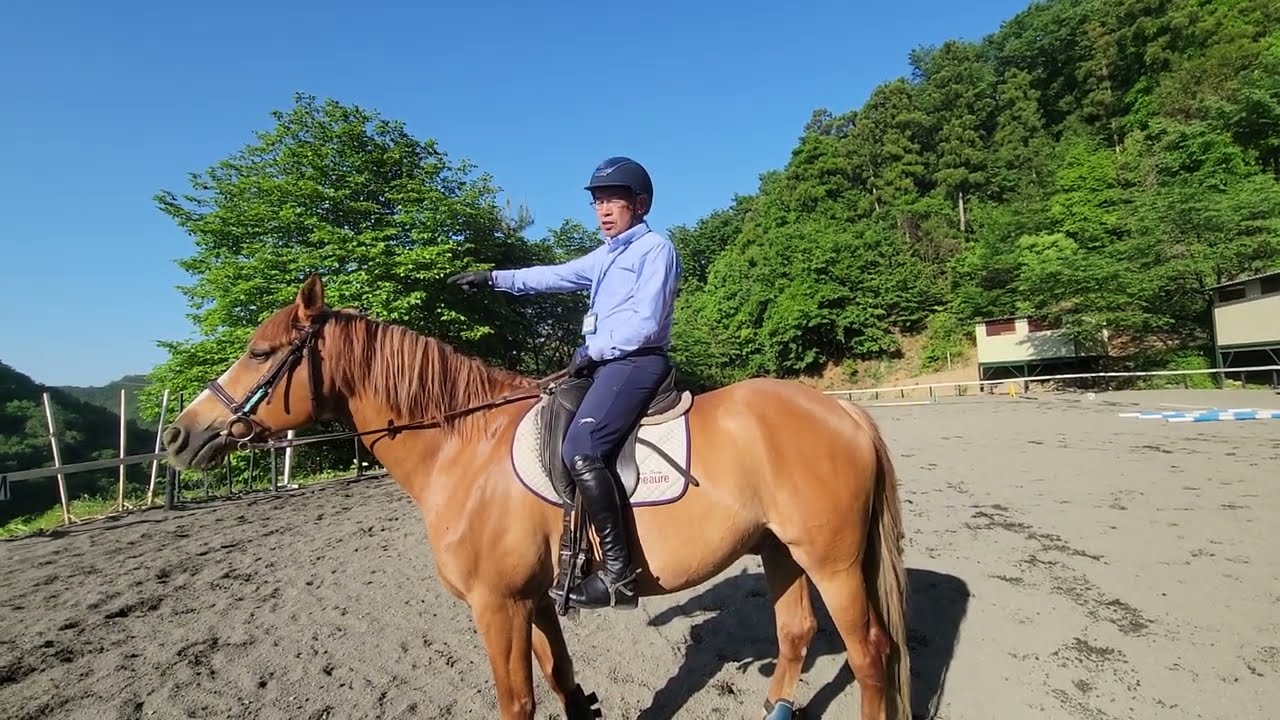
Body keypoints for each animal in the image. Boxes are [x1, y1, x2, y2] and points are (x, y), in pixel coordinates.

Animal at [160, 274, 912, 720]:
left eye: (262, 353)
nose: (177, 435)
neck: (463, 447)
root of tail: (846, 413)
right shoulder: (534, 601)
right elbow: (561, 680)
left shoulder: (497, 607)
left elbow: (517, 701)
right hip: (780, 549)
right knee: (795, 633)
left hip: (834, 561)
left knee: (870, 653)